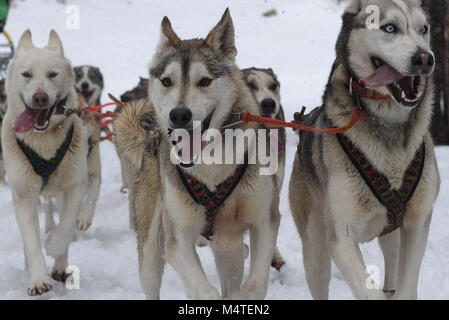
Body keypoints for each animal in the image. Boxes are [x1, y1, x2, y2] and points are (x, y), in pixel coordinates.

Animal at [1, 30, 88, 296]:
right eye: (26, 74)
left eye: (52, 74)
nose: (40, 97)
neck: (44, 142)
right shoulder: (24, 194)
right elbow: (31, 240)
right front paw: (38, 278)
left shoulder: (74, 186)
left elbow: (67, 225)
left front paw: (54, 245)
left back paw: (60, 265)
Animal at [117, 10, 280, 300]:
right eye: (167, 81)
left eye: (204, 81)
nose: (179, 115)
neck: (213, 167)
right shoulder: (178, 241)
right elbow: (206, 291)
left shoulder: (265, 222)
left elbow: (255, 286)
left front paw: (239, 297)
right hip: (150, 252)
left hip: (228, 247)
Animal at [288, 0, 440, 300]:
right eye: (390, 28)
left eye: (424, 29)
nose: (425, 58)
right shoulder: (342, 238)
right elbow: (369, 291)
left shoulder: (418, 222)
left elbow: (407, 285)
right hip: (315, 252)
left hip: (391, 235)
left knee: (392, 264)